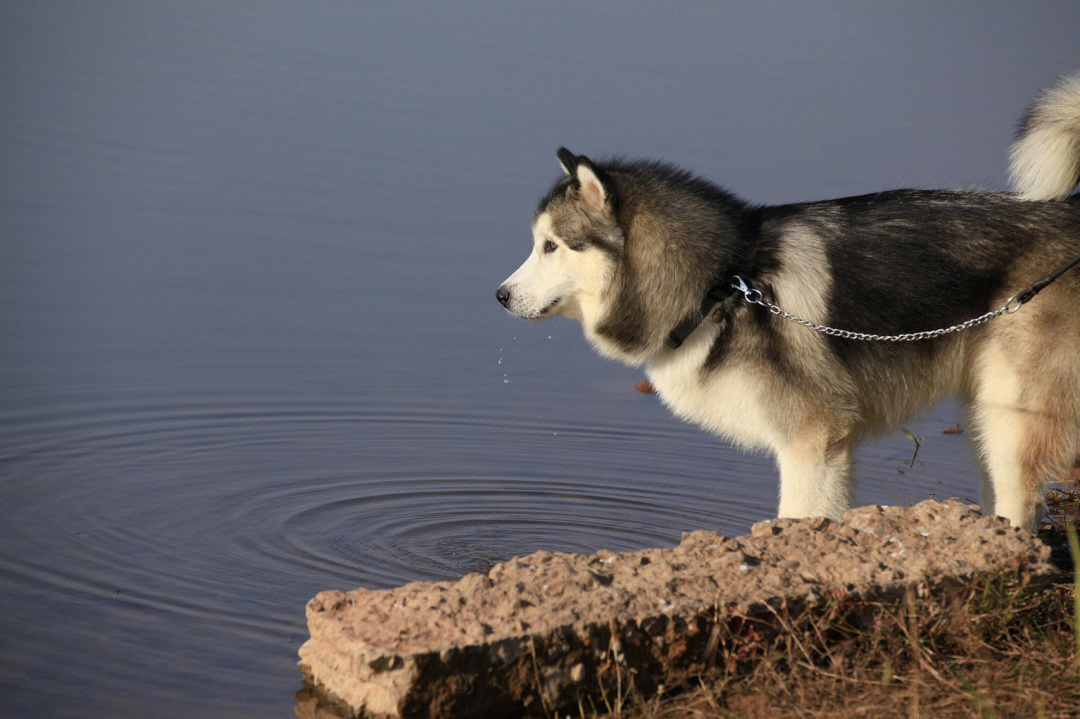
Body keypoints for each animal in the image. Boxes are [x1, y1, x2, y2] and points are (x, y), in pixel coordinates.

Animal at [496, 75, 1080, 528]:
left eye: (551, 245)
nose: (499, 296)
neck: (720, 285)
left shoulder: (814, 443)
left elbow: (799, 517)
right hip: (987, 417)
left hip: (1014, 420)